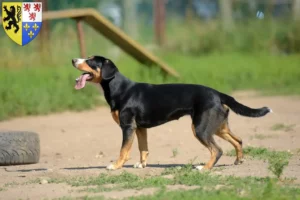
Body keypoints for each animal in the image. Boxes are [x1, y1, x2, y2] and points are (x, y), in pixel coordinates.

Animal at [71, 55, 272, 170]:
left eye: (90, 61)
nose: (73, 60)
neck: (119, 88)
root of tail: (217, 93)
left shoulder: (127, 126)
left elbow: (124, 150)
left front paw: (116, 166)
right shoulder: (140, 128)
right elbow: (143, 148)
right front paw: (141, 165)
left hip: (200, 129)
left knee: (217, 150)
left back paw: (204, 168)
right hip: (217, 127)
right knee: (238, 140)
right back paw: (239, 161)